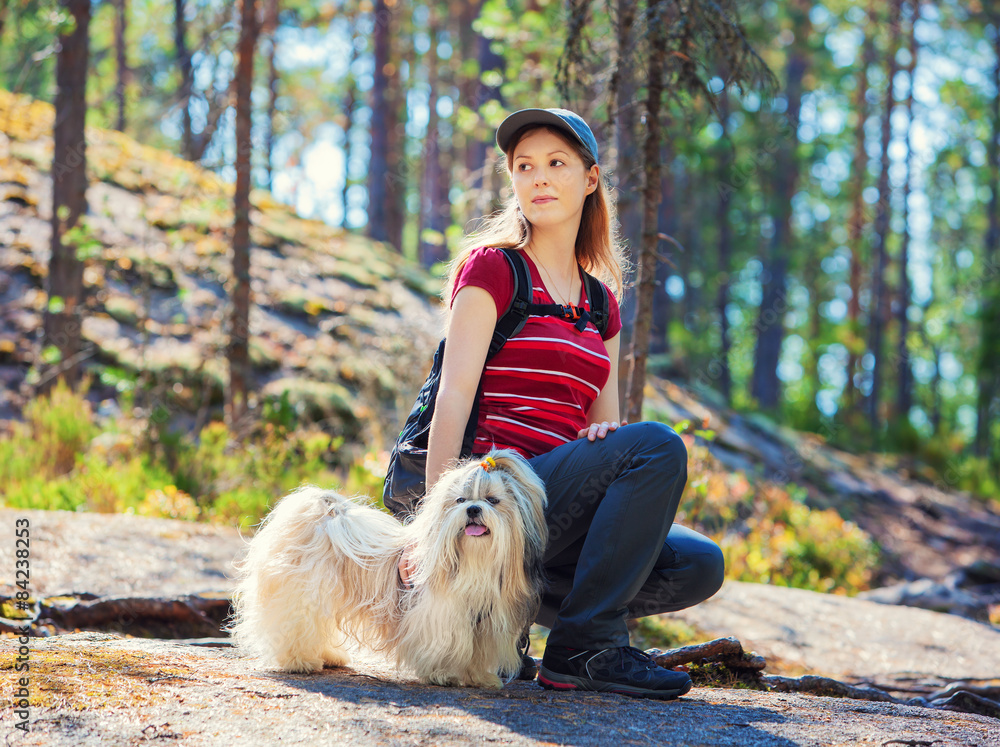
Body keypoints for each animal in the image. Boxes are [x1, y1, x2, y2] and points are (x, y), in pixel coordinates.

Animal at [229, 450, 548, 688]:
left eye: (493, 500)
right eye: (460, 500)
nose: (472, 509)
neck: (475, 561)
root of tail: (324, 514)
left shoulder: (486, 621)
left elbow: (478, 653)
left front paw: (480, 678)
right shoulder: (440, 614)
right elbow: (445, 644)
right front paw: (443, 674)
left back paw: (329, 656)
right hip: (303, 593)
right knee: (294, 625)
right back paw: (300, 661)